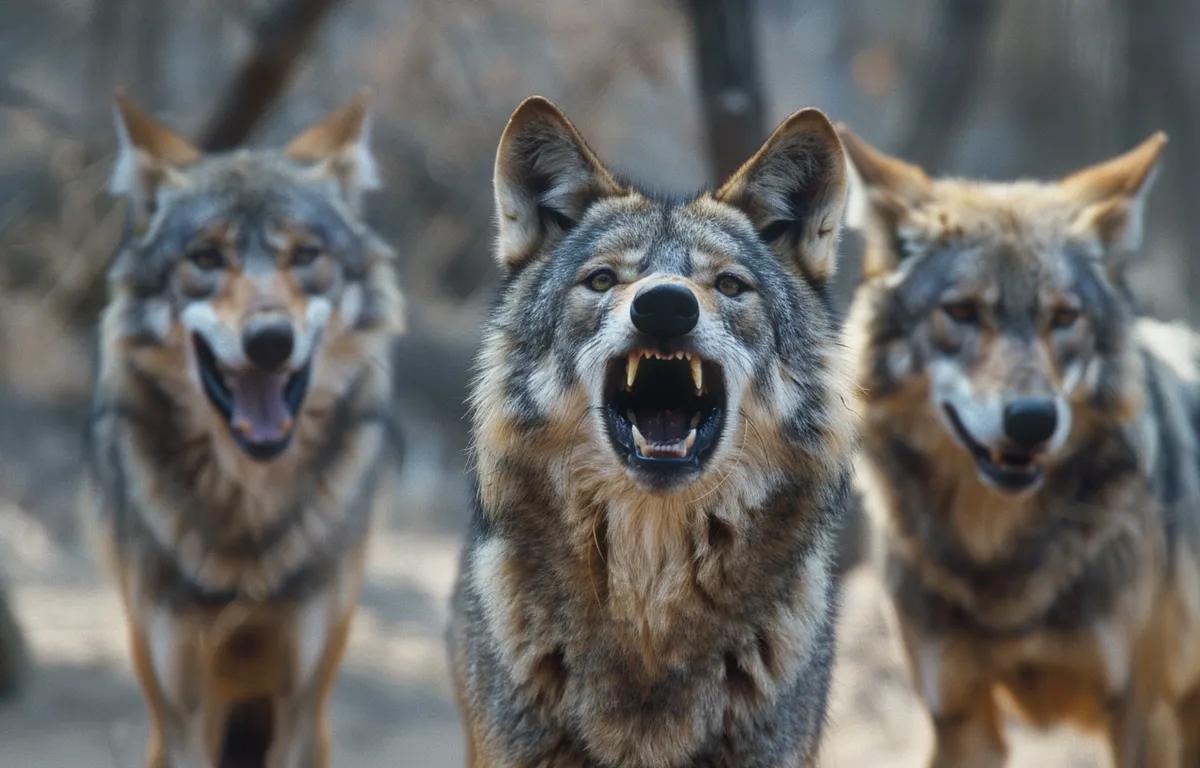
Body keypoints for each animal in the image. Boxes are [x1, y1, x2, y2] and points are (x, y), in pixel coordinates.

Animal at [840, 126, 1200, 768]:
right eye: (961, 312)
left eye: (1063, 317)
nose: (1033, 420)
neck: (1000, 568)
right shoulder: (958, 718)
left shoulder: (1140, 717)